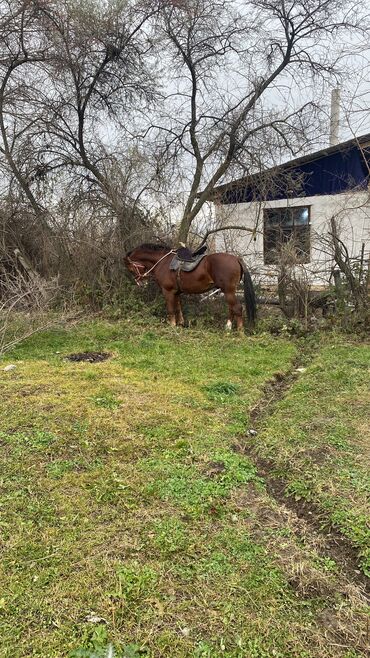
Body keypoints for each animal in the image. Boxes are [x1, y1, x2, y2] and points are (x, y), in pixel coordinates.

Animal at [123, 242, 254, 330]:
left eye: (130, 268)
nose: (140, 283)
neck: (163, 262)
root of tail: (236, 259)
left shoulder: (168, 291)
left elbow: (171, 310)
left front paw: (172, 326)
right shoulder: (176, 292)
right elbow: (178, 308)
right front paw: (180, 324)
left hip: (228, 290)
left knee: (237, 308)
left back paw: (240, 332)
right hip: (227, 291)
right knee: (231, 308)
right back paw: (228, 327)